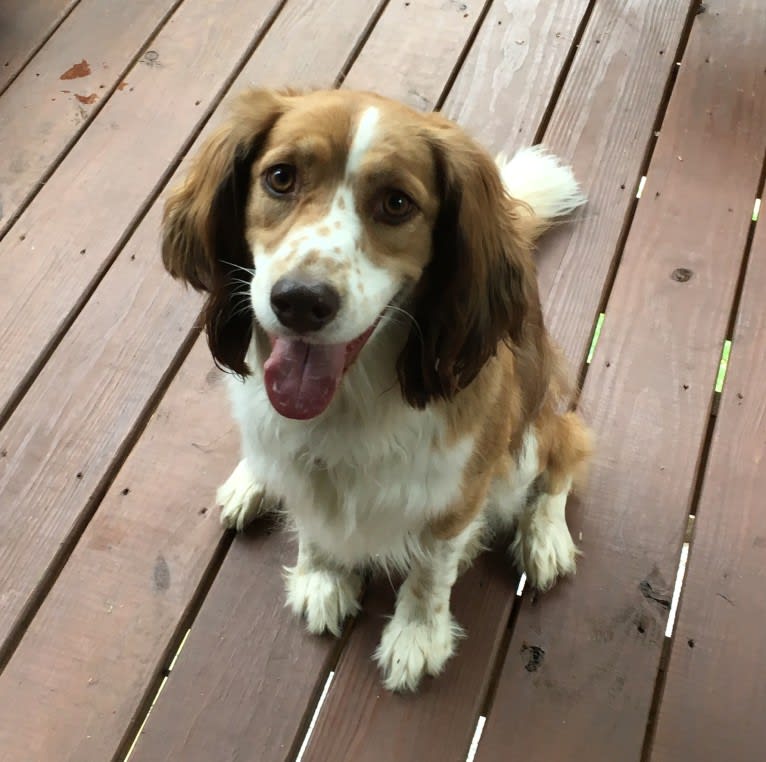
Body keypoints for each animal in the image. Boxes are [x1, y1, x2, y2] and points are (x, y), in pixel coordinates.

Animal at [164, 87, 592, 688]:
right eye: (280, 178)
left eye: (396, 203)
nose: (300, 301)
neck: (350, 399)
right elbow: (314, 522)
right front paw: (322, 575)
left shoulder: (457, 490)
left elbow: (432, 570)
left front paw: (417, 634)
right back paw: (253, 480)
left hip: (529, 437)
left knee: (565, 452)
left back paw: (545, 537)